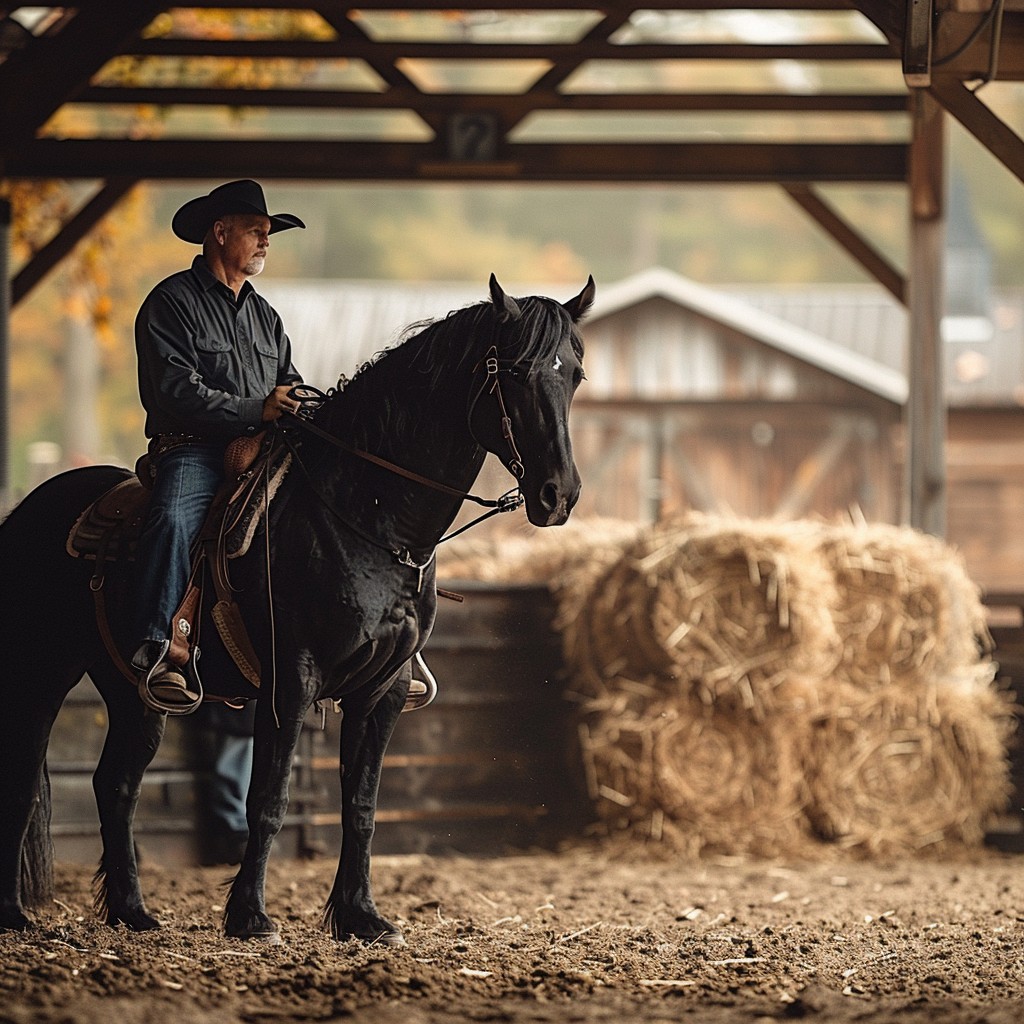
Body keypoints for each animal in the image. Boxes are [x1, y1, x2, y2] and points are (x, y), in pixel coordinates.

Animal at [0, 272, 593, 942]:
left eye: (574, 374)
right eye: (514, 371)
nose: (559, 495)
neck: (367, 515)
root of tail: (28, 510)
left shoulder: (383, 690)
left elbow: (361, 805)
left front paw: (361, 916)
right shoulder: (293, 679)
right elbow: (269, 799)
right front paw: (250, 916)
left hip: (135, 690)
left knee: (116, 785)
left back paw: (133, 912)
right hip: (37, 677)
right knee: (23, 785)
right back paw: (14, 913)